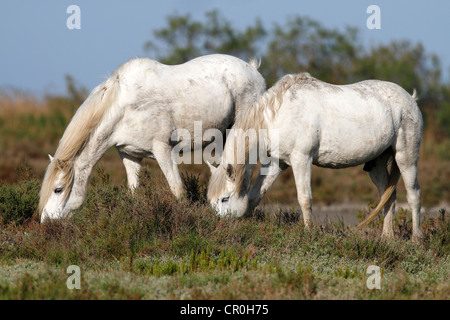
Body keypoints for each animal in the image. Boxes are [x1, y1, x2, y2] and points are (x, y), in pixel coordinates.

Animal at [38, 53, 266, 221]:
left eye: (58, 189)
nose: (46, 222)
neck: (125, 106)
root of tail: (253, 70)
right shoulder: (130, 155)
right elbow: (133, 191)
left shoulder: (163, 150)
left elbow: (178, 191)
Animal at [206, 72, 424, 241]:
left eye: (224, 199)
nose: (219, 227)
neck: (279, 114)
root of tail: (410, 99)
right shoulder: (277, 164)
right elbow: (254, 196)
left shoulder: (301, 160)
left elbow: (304, 198)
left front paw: (309, 233)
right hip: (377, 164)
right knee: (389, 196)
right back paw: (387, 237)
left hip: (406, 158)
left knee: (413, 195)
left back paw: (416, 238)